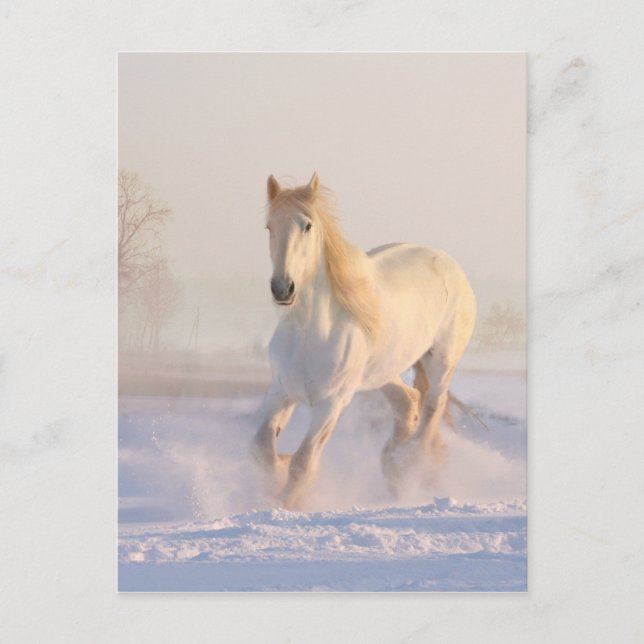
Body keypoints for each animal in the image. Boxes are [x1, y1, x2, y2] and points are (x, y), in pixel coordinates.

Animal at [253, 172, 476, 509]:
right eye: (269, 226)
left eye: (307, 225)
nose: (283, 288)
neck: (310, 333)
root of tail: (450, 264)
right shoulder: (281, 391)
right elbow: (262, 449)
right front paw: (277, 472)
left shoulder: (331, 404)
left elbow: (303, 463)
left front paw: (286, 503)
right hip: (382, 372)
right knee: (408, 402)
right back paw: (393, 464)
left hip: (441, 361)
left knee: (432, 406)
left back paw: (410, 464)